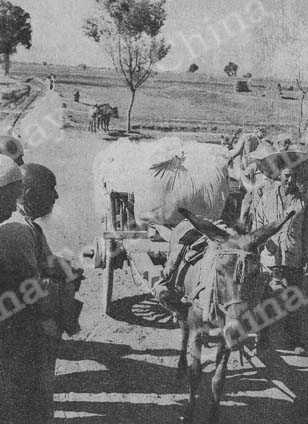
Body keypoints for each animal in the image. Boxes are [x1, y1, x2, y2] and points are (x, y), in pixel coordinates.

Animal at [164, 207, 296, 422]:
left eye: (255, 273)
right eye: (218, 271)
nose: (238, 330)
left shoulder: (226, 337)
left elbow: (219, 379)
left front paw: (213, 416)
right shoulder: (198, 330)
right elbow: (195, 374)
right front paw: (189, 413)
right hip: (181, 300)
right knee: (184, 333)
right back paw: (180, 368)